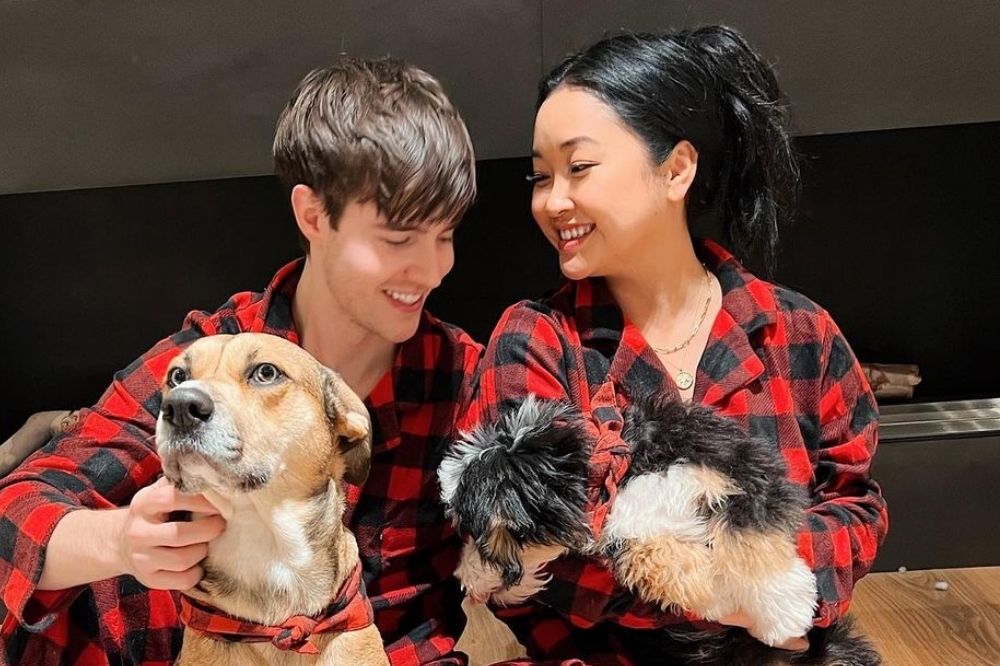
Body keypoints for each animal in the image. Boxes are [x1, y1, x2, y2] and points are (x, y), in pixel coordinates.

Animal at [442, 392, 880, 660]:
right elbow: (652, 557)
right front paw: (711, 594)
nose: (463, 579)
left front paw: (783, 610)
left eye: (484, 536)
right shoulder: (623, 534)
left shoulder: (742, 470)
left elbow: (748, 536)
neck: (617, 470)